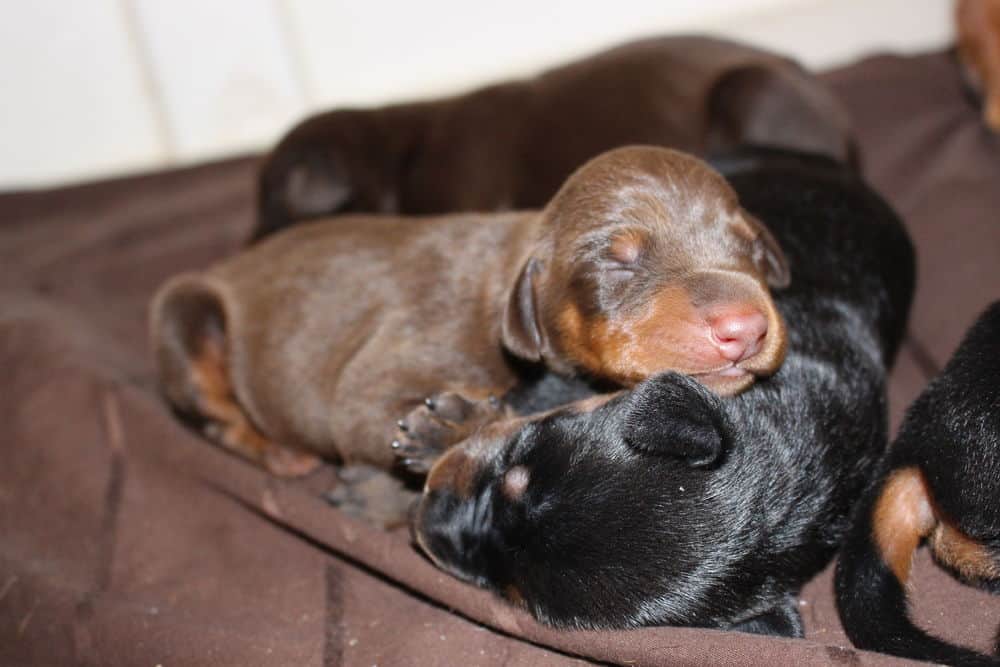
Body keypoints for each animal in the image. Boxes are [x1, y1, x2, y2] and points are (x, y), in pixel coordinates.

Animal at [150, 147, 788, 490]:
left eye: (749, 247)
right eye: (618, 262)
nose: (745, 328)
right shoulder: (386, 375)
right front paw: (450, 429)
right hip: (186, 314)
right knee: (216, 415)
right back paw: (277, 451)